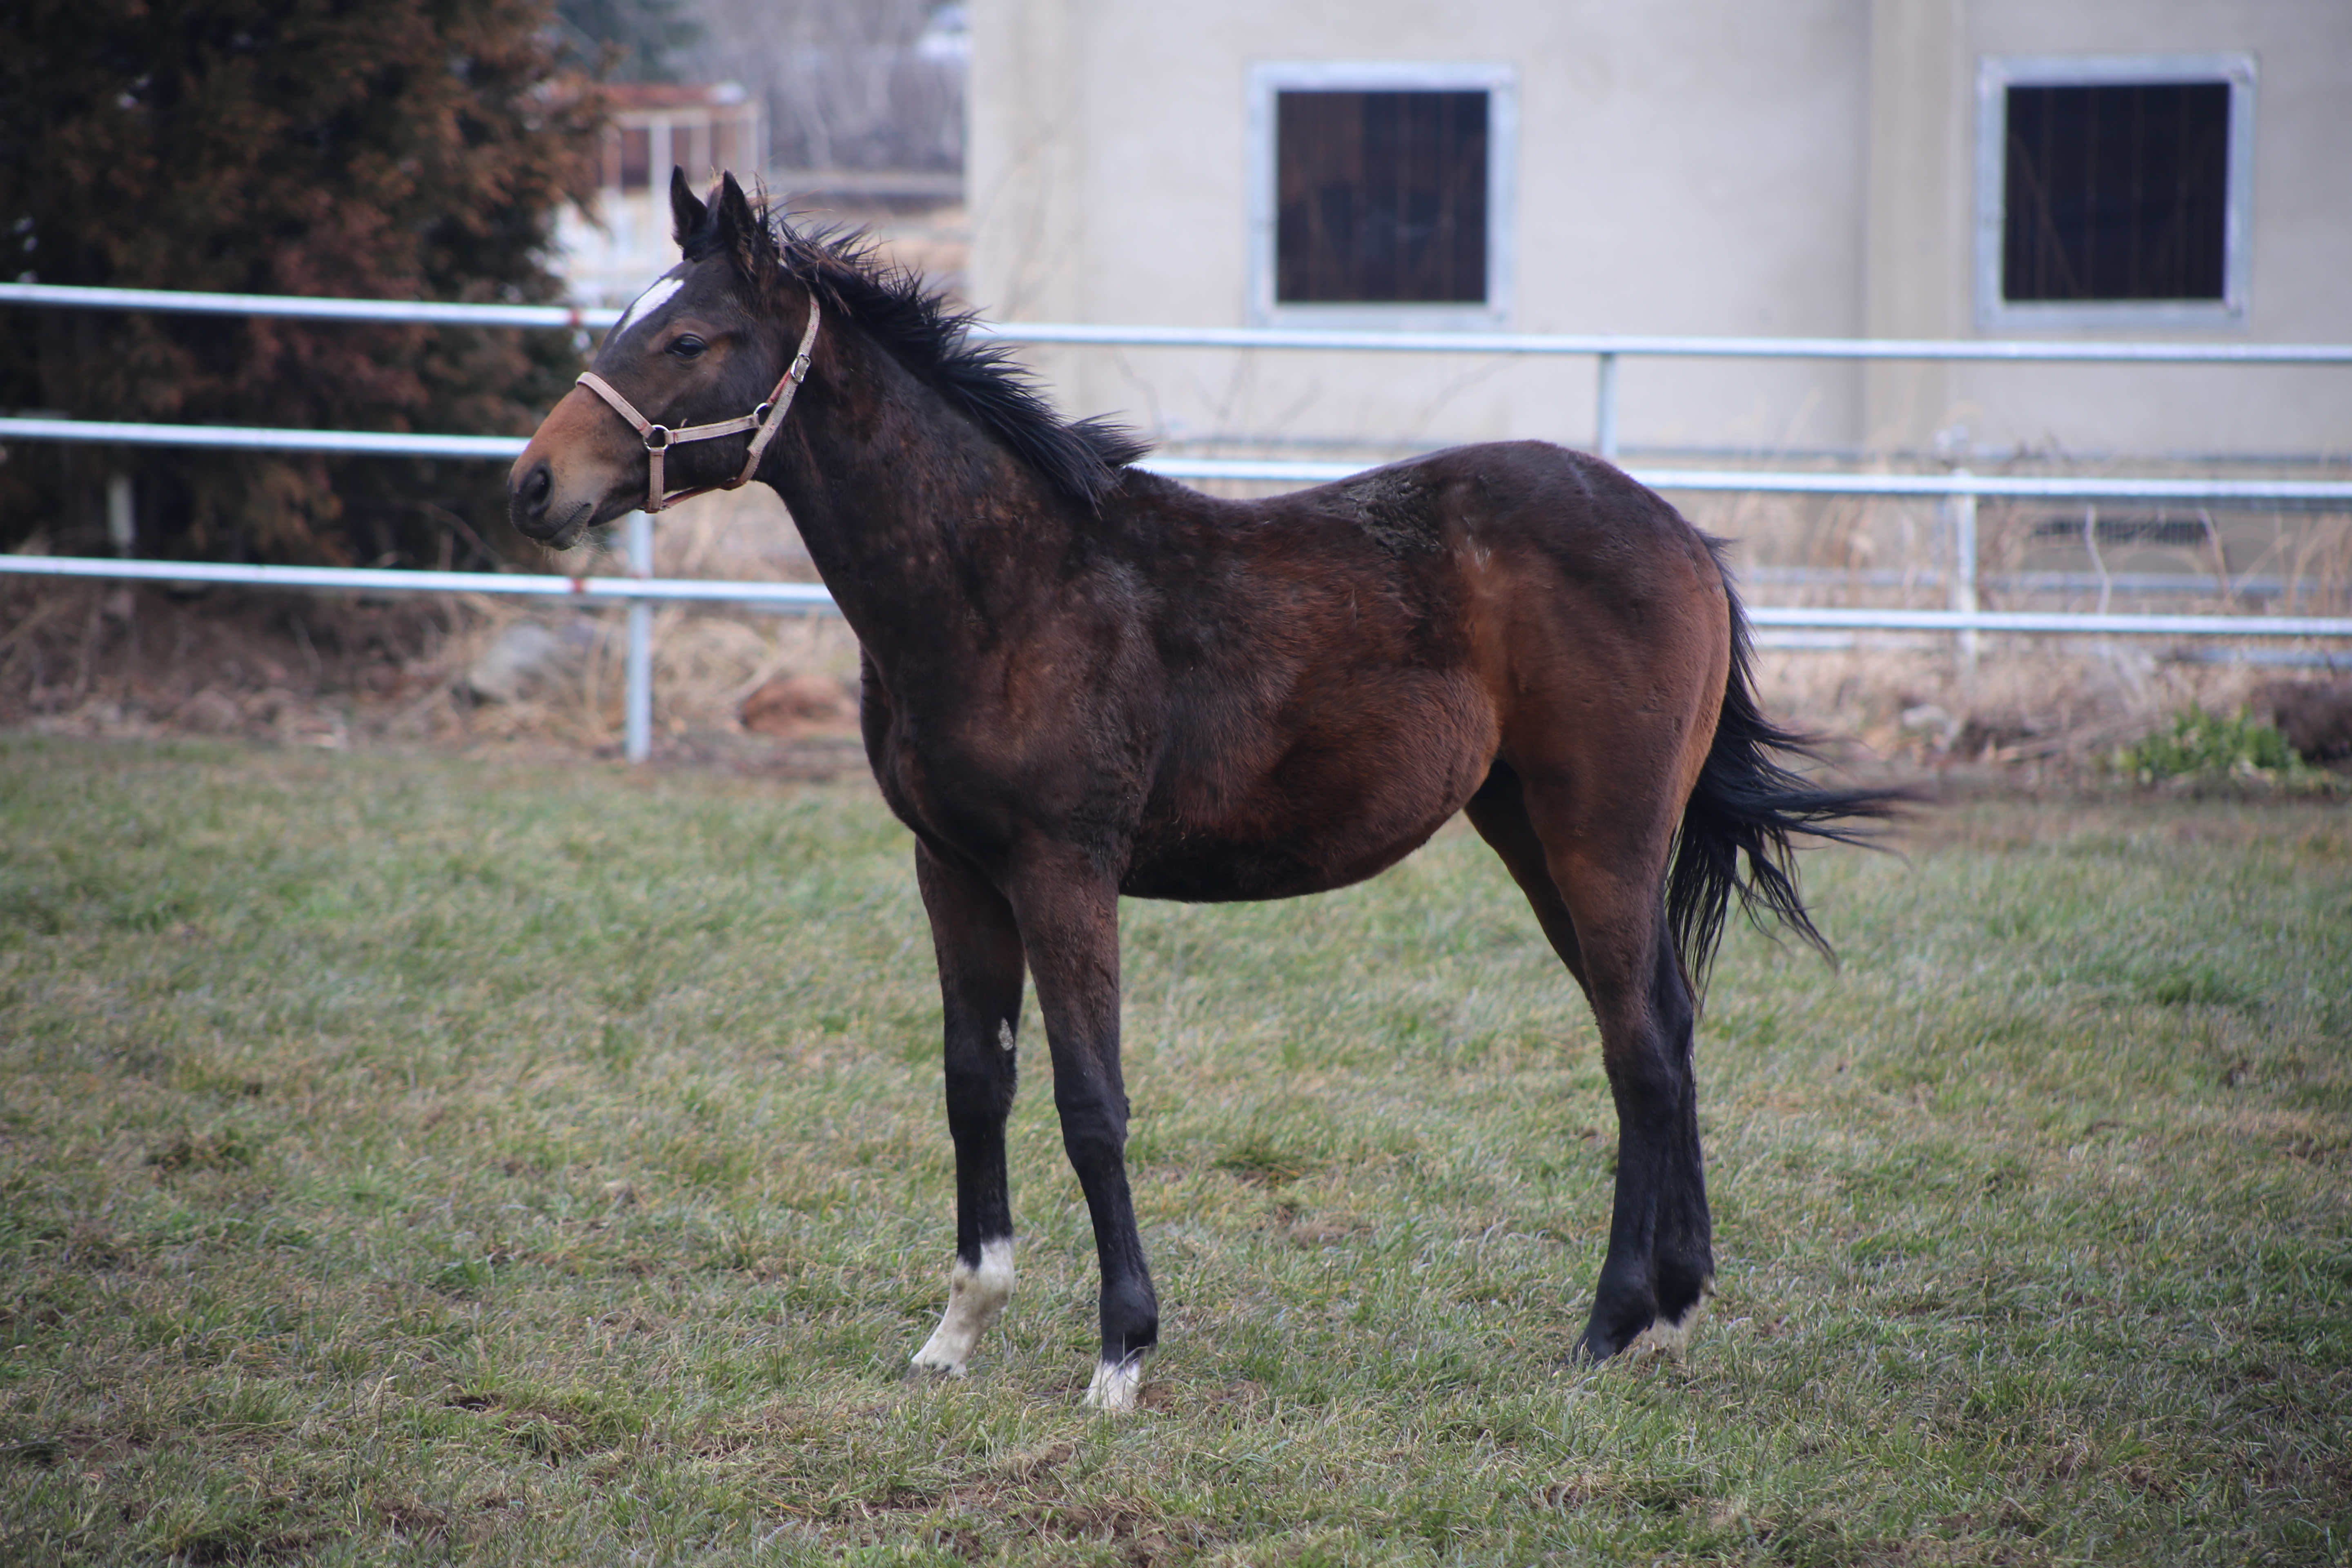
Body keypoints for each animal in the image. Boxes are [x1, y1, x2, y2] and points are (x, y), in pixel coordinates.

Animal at [506, 172, 1900, 1410]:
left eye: (688, 337)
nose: (533, 484)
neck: (1002, 585)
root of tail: (1686, 538)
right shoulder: (953, 870)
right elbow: (974, 1082)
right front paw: (956, 1332)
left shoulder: (1063, 869)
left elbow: (1091, 1100)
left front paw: (1122, 1352)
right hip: (1533, 829)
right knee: (1668, 1020)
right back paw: (1676, 1305)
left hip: (1597, 831)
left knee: (1639, 1049)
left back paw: (1611, 1327)